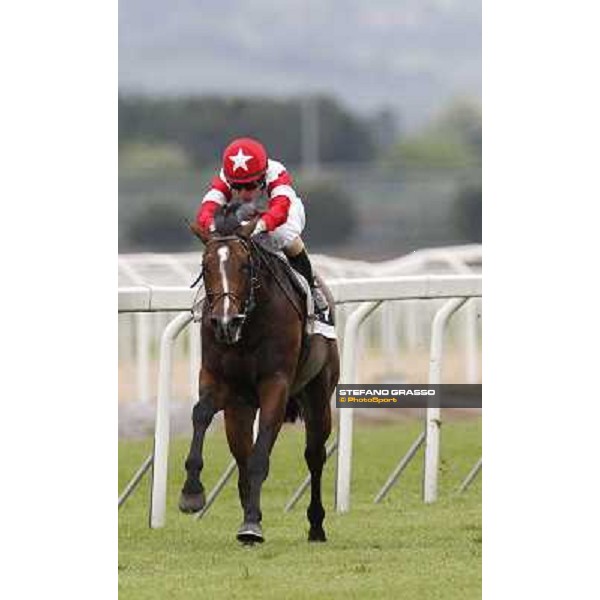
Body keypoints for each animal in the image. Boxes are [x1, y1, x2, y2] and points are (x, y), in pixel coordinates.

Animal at [179, 203, 338, 544]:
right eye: (205, 267)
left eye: (243, 266)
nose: (225, 321)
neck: (247, 326)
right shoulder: (216, 378)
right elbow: (200, 414)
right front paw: (192, 493)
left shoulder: (275, 383)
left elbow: (261, 453)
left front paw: (252, 524)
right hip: (239, 408)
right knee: (241, 453)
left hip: (318, 392)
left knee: (314, 454)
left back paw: (316, 525)